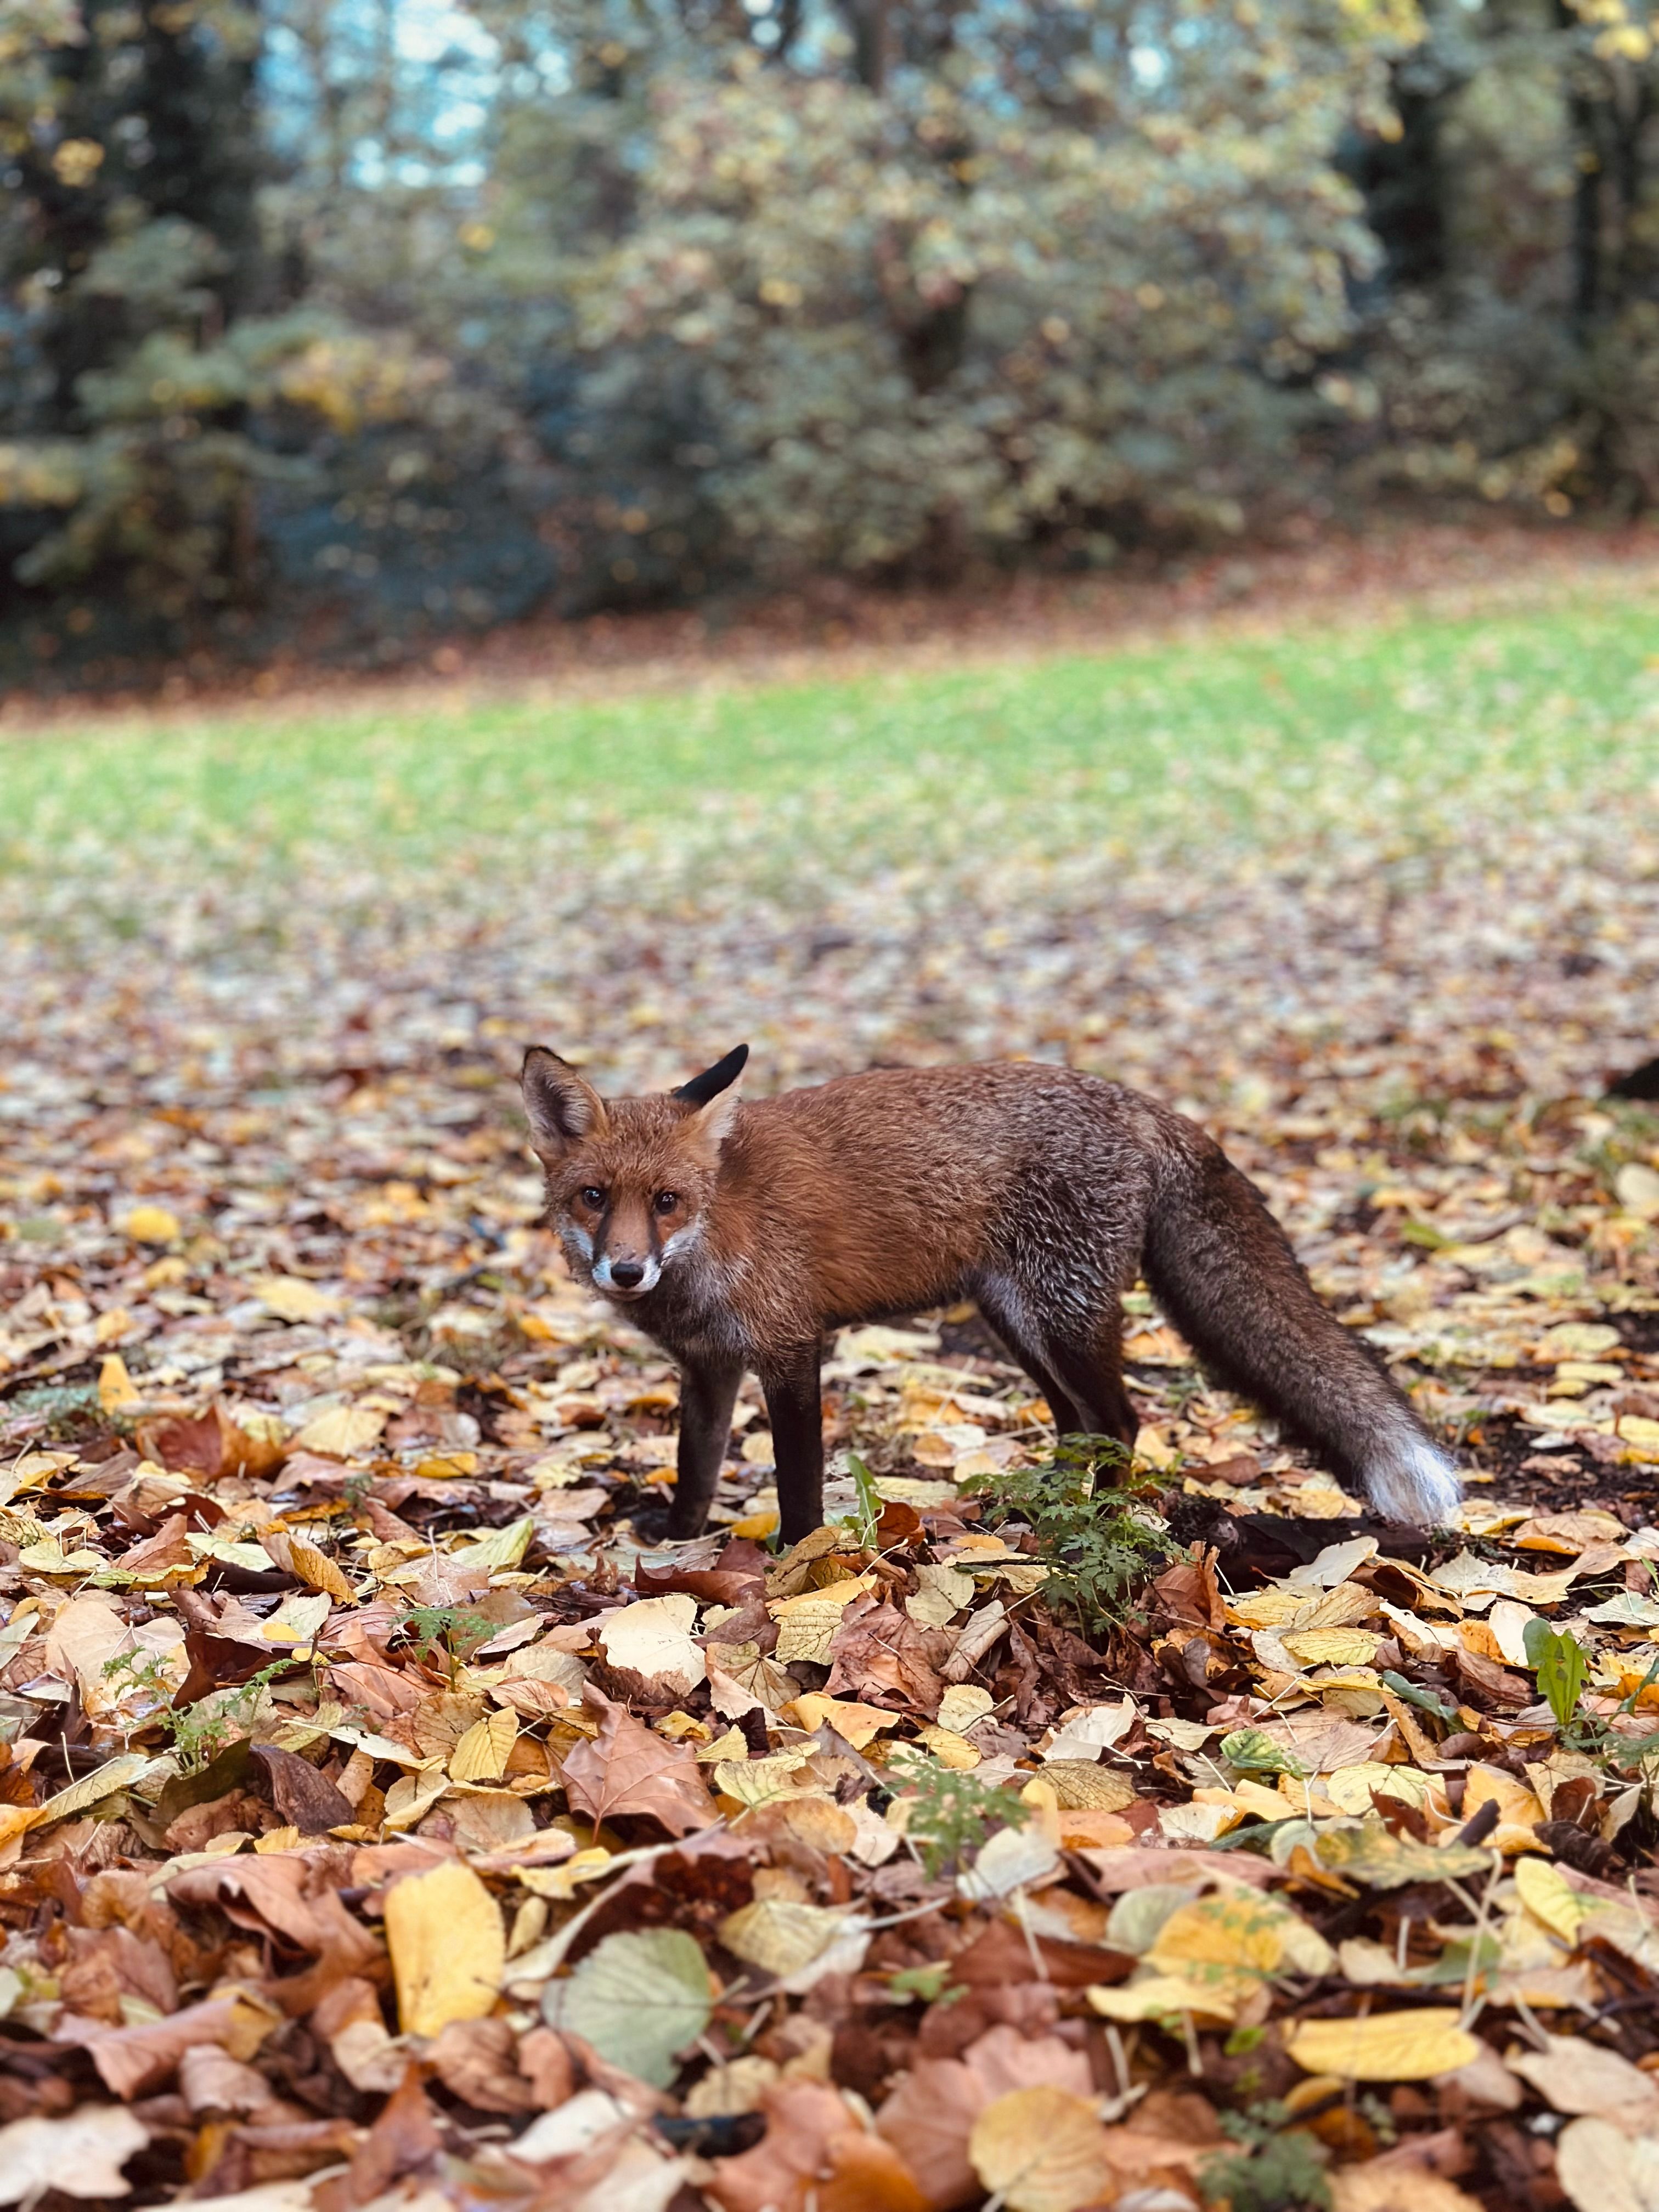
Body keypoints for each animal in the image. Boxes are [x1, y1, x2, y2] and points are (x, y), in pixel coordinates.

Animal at [519, 1044, 1460, 1547]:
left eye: (668, 1201)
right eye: (594, 1198)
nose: (626, 1273)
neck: (717, 1236)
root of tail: (1143, 1104)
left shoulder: (790, 1349)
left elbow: (797, 1483)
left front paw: (801, 1563)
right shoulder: (708, 1367)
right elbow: (697, 1467)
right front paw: (680, 1544)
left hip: (1062, 1316)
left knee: (1121, 1421)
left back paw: (1098, 1524)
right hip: (1018, 1321)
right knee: (1080, 1424)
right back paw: (1045, 1510)